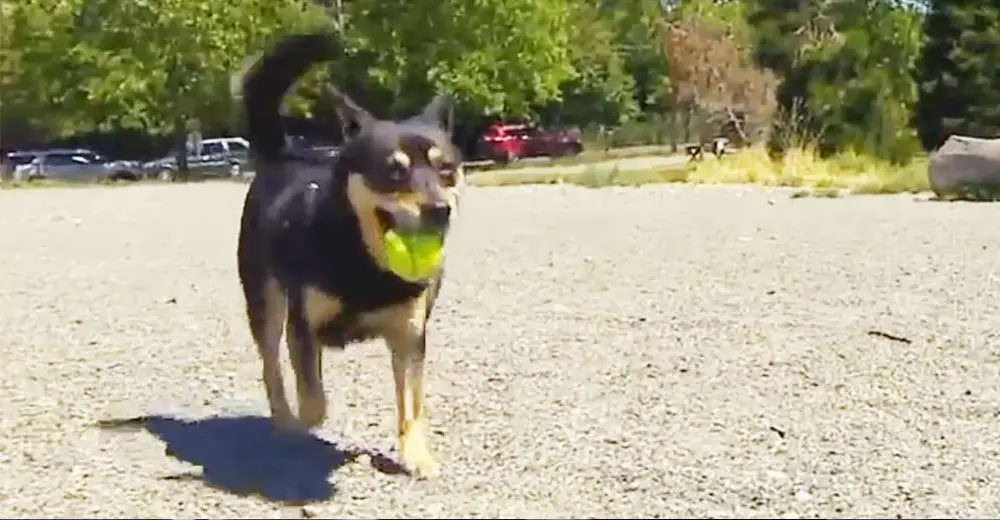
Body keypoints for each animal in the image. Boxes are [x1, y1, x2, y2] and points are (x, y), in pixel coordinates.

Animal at [235, 31, 464, 480]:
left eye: (446, 169)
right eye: (394, 171)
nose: (439, 209)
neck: (366, 263)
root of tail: (284, 154)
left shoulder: (410, 334)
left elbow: (411, 402)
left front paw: (415, 453)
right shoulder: (303, 326)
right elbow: (313, 399)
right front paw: (304, 425)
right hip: (264, 302)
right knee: (271, 367)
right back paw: (284, 420)